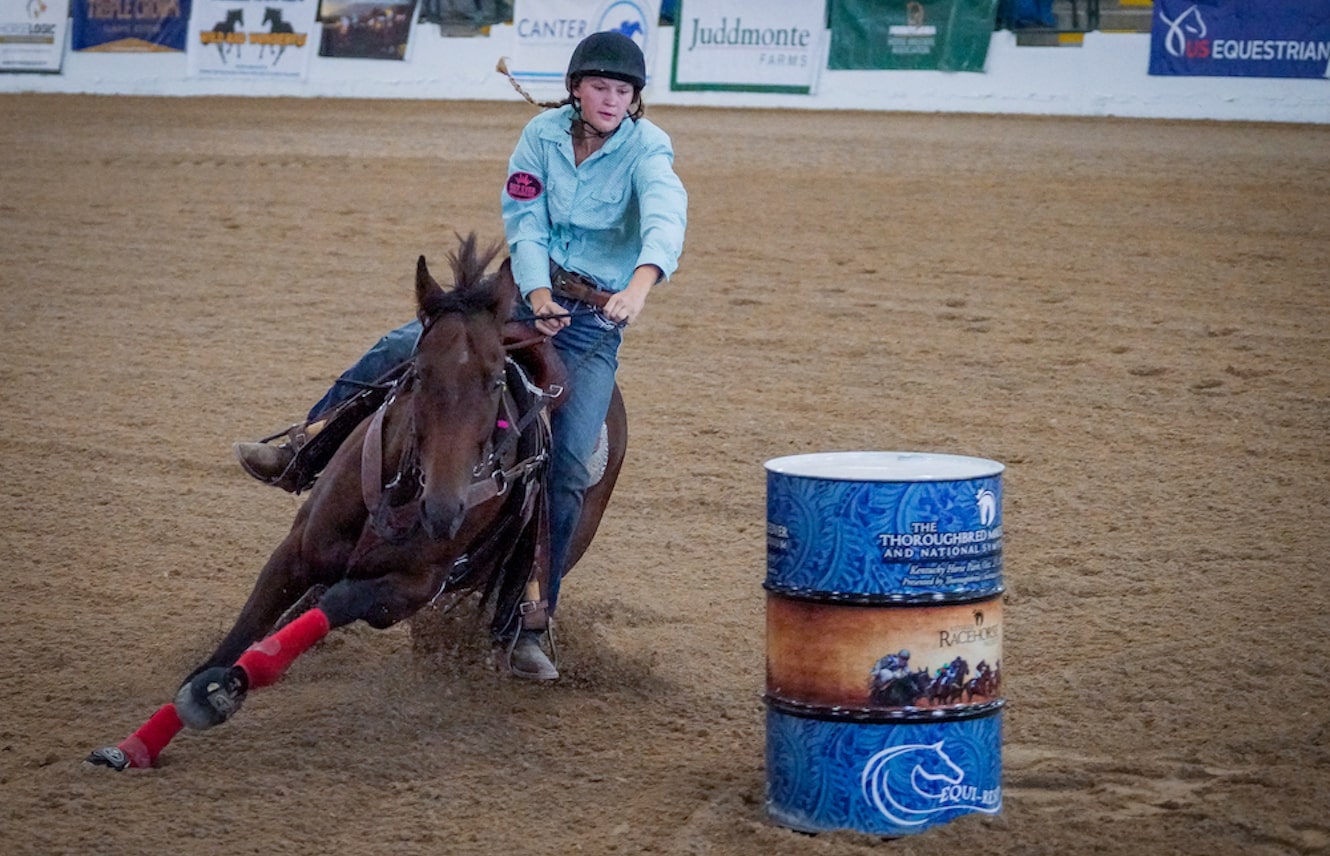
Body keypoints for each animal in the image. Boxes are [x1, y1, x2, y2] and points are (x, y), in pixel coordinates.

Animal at [88, 237, 627, 770]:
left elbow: (314, 618)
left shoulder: (407, 591)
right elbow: (238, 639)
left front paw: (226, 689)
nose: (445, 509)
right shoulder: (296, 553)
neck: (400, 497)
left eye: (496, 380)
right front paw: (136, 743)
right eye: (419, 373)